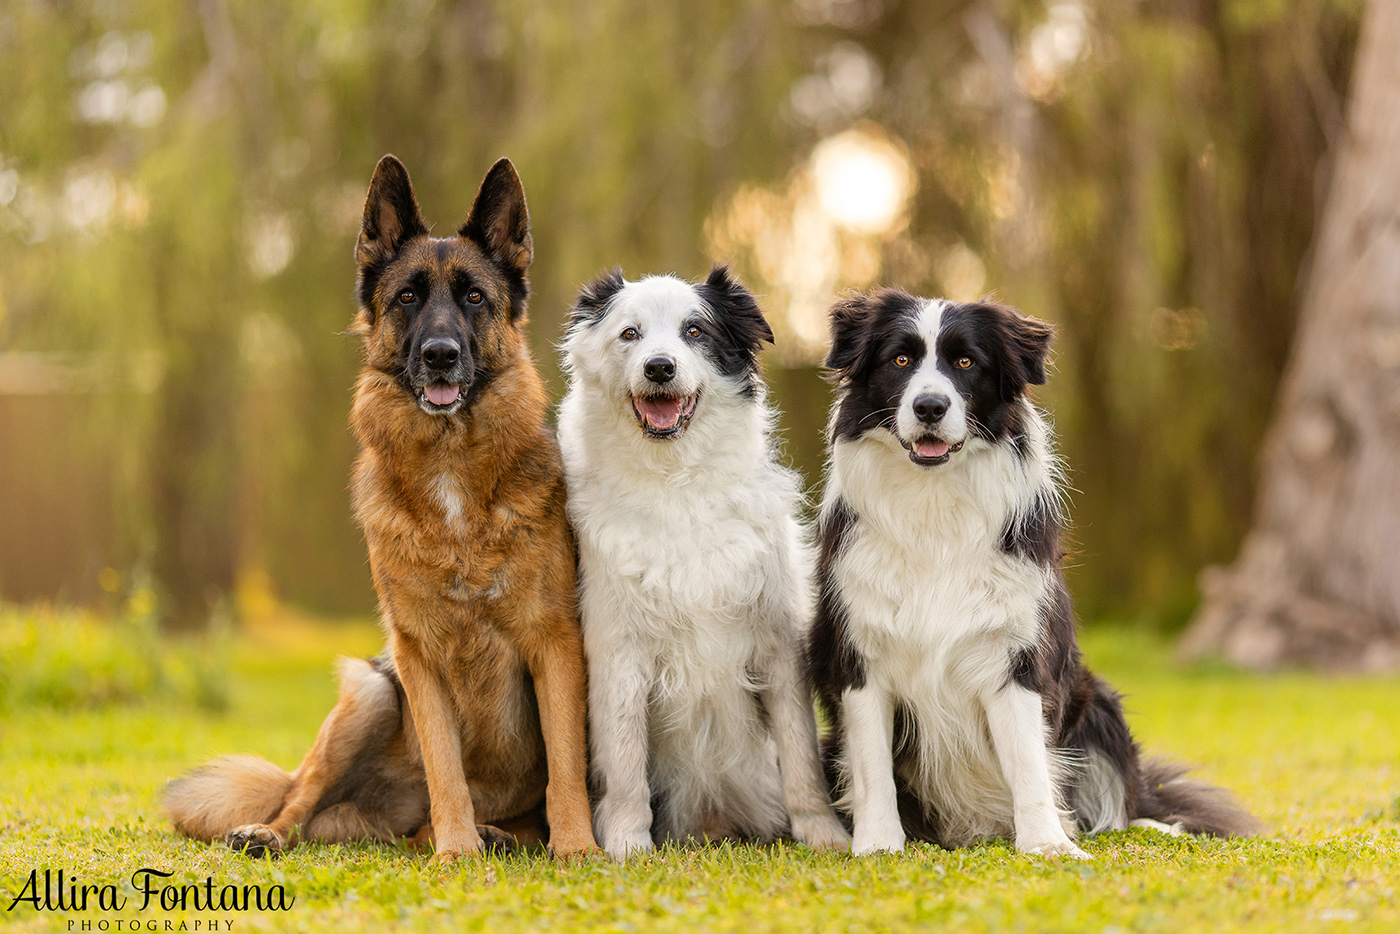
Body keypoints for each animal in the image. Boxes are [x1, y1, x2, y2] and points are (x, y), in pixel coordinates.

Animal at [560, 266, 845, 856]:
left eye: (695, 331)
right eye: (630, 334)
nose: (659, 366)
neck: (677, 483)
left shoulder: (778, 644)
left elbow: (801, 755)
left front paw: (823, 834)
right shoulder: (618, 649)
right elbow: (625, 762)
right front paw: (628, 843)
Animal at [812, 288, 1260, 856]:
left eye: (966, 362)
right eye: (900, 360)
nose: (930, 406)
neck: (933, 504)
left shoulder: (1016, 657)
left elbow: (1029, 763)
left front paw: (1048, 845)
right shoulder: (859, 659)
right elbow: (872, 769)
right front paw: (877, 845)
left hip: (1101, 705)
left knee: (1124, 804)